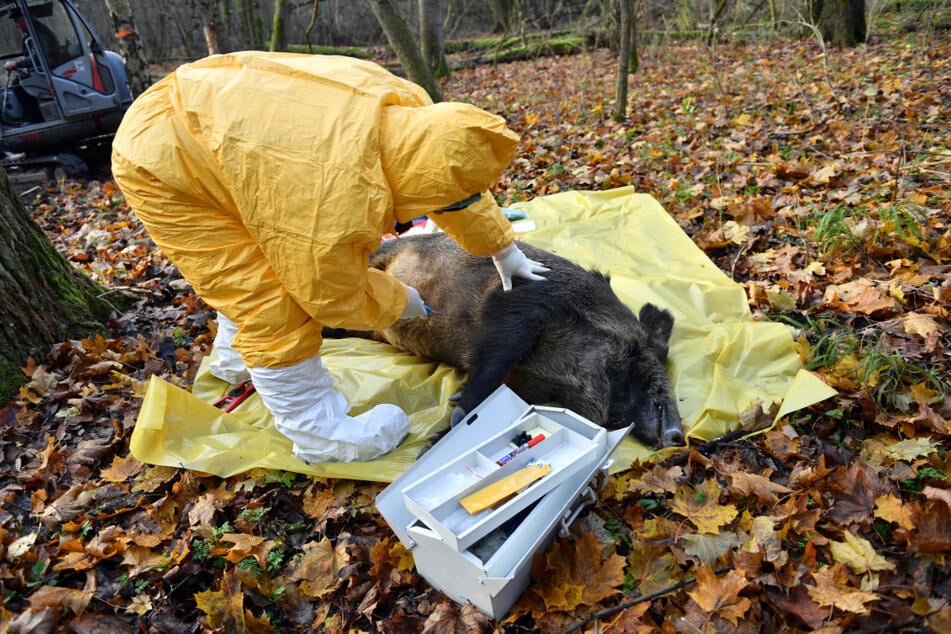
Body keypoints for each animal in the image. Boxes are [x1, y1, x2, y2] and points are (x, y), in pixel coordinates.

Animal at [328, 233, 685, 449]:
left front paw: (434, 444)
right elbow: (500, 354)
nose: (679, 437)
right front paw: (458, 411)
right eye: (646, 358)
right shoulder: (520, 299)